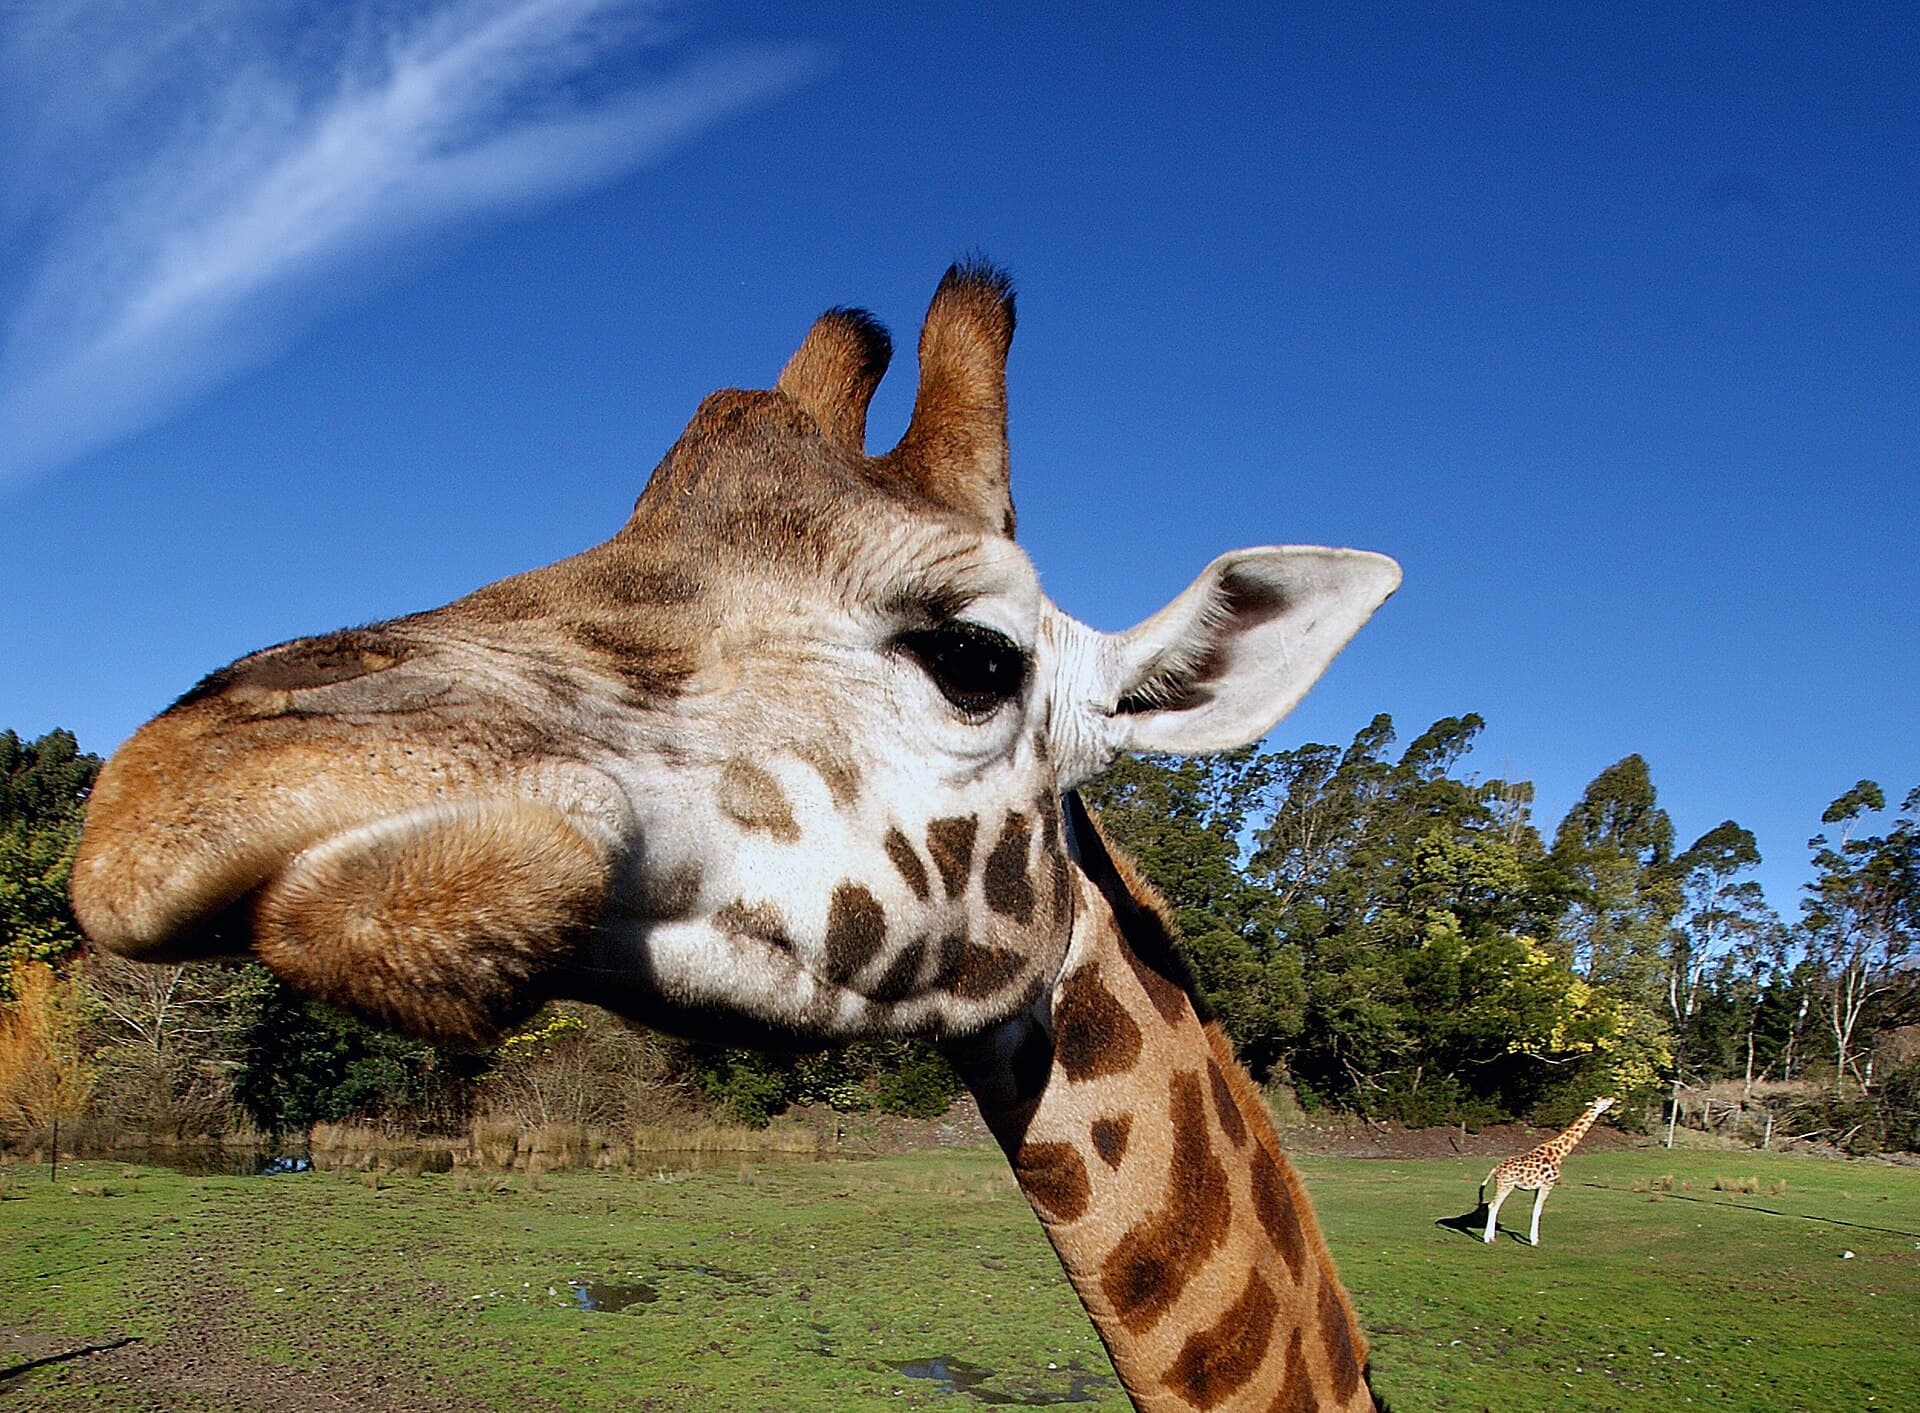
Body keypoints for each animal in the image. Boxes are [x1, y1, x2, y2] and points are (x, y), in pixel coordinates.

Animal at [1479, 1096, 1616, 1246]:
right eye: (1603, 1101)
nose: (1613, 1099)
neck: (1559, 1154)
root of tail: (1496, 1169)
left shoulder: (1538, 1187)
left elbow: (1535, 1209)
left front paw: (1534, 1239)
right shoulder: (1548, 1184)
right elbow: (1538, 1211)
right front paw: (1534, 1241)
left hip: (1503, 1185)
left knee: (1495, 1206)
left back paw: (1492, 1238)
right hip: (1506, 1185)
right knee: (1493, 1205)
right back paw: (1486, 1239)